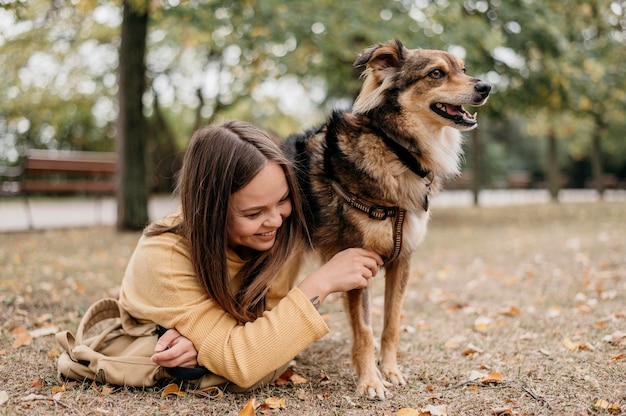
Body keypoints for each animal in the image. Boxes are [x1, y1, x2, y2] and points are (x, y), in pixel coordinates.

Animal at [280, 39, 490, 400]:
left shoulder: (402, 259)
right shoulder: (356, 264)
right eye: (436, 73)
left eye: (463, 69)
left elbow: (391, 322)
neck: (397, 150)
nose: (486, 87)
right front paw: (369, 382)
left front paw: (390, 371)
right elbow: (364, 329)